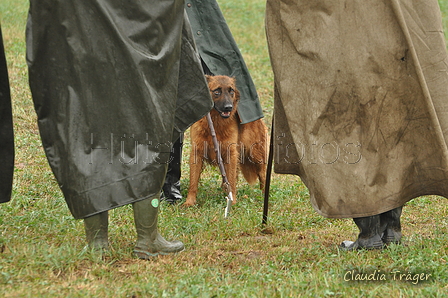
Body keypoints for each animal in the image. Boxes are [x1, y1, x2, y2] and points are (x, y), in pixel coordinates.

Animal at [184, 74, 268, 206]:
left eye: (231, 91)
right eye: (217, 92)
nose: (229, 107)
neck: (215, 123)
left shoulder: (231, 154)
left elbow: (232, 180)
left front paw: (232, 201)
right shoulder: (196, 152)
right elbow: (193, 181)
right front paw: (190, 202)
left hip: (256, 155)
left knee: (263, 175)